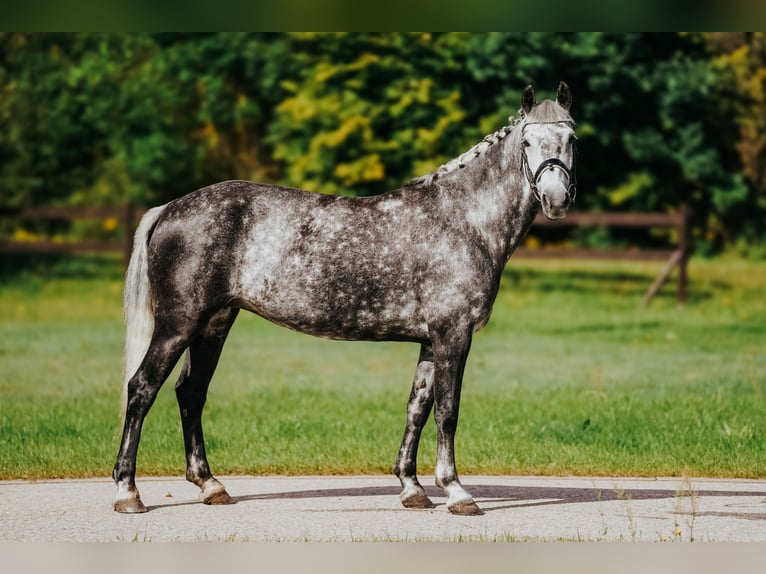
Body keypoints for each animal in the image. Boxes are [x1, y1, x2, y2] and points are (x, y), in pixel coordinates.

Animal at [113, 82, 577, 516]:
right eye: (527, 142)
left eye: (572, 139)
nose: (556, 199)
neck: (463, 220)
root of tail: (170, 208)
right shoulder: (453, 334)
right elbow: (447, 410)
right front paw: (456, 491)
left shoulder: (431, 340)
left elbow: (417, 407)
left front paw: (412, 488)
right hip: (179, 324)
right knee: (142, 388)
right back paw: (128, 492)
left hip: (214, 323)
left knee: (191, 393)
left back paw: (211, 486)